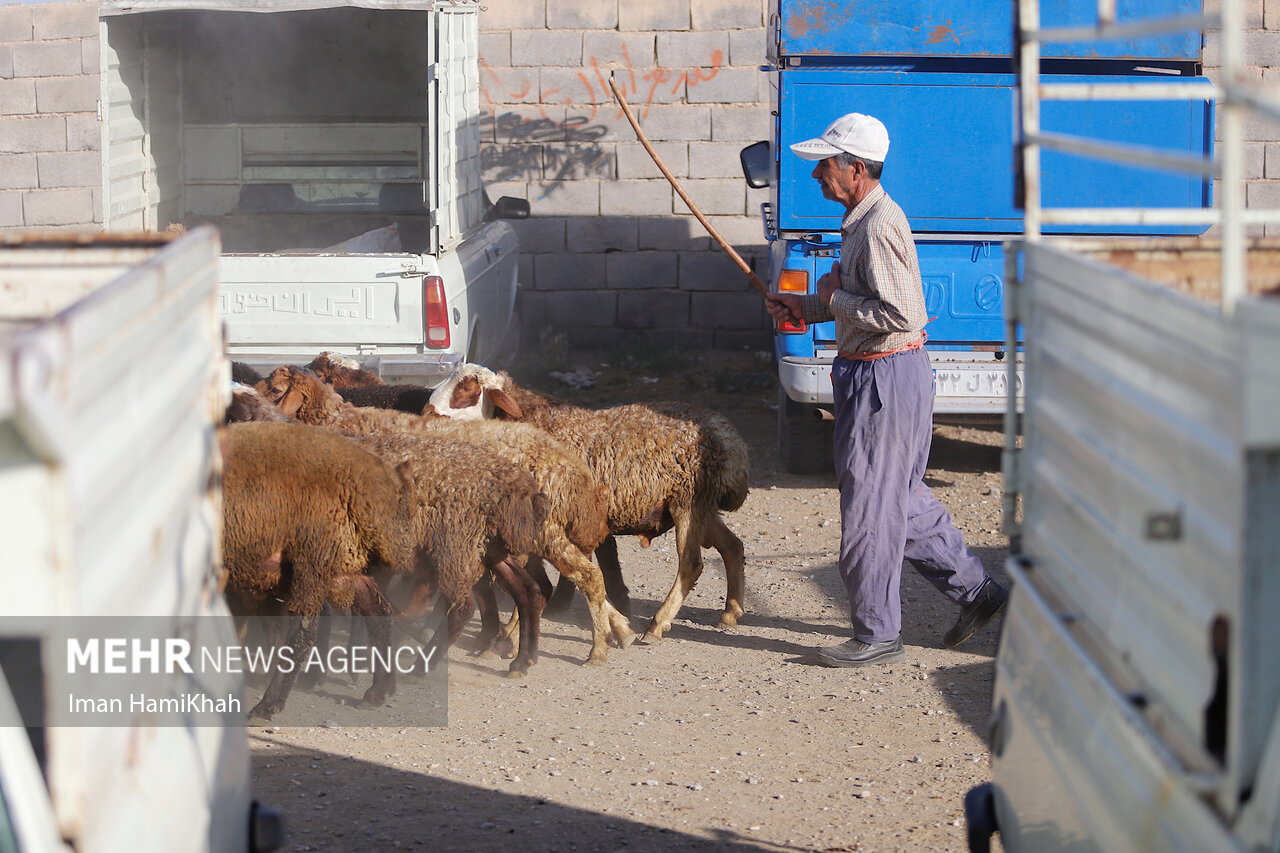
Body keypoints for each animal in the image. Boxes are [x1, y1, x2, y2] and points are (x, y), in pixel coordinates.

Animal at [222, 420, 417, 717]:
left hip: (314, 557)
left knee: (303, 630)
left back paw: (269, 705)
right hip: (345, 563)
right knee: (379, 611)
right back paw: (379, 691)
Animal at [430, 363, 747, 637]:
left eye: (467, 388)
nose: (428, 413)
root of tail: (730, 440)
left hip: (688, 501)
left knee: (691, 564)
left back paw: (658, 624)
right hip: (701, 507)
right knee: (732, 546)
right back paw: (730, 612)